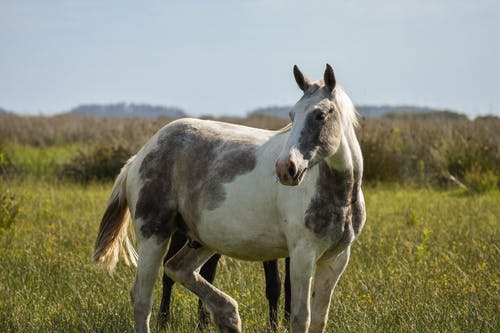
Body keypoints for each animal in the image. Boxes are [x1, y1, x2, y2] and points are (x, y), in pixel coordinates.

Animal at [156, 228, 290, 330]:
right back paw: (164, 321)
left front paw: (287, 321)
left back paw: (203, 323)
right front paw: (273, 326)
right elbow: (273, 286)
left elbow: (288, 283)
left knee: (206, 273)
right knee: (168, 269)